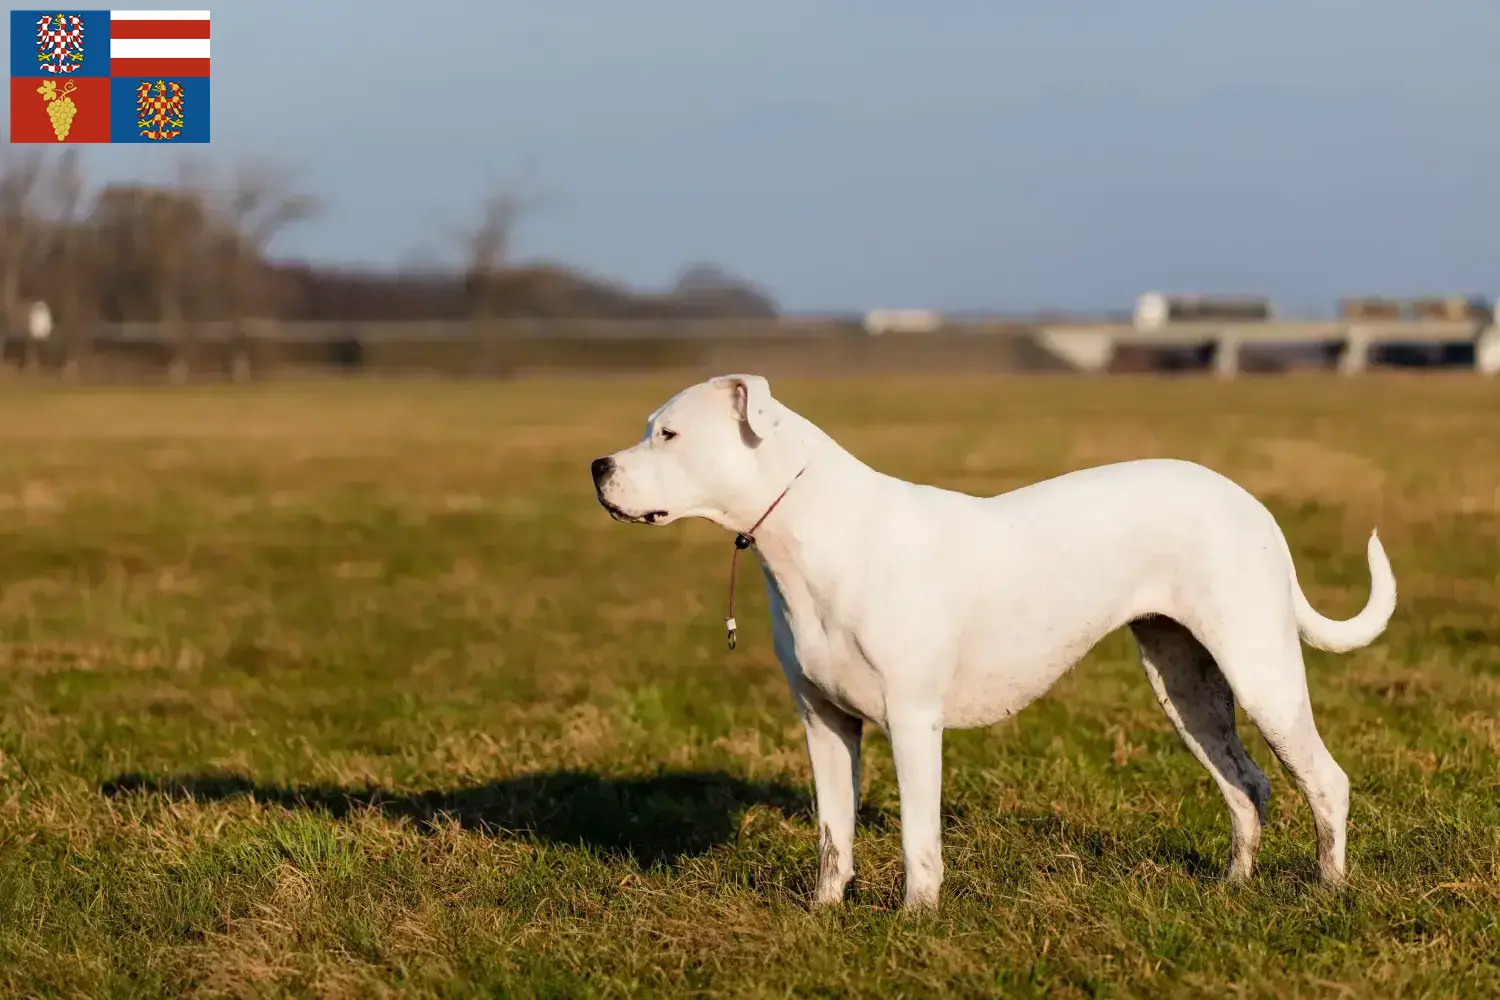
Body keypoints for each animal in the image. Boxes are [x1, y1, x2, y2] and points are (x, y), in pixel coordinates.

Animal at [588, 371, 1392, 911]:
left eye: (669, 434)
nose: (598, 467)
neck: (813, 532)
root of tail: (1249, 502)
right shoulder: (824, 723)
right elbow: (832, 831)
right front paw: (823, 912)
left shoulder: (913, 722)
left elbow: (917, 836)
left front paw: (915, 919)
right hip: (1186, 687)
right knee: (1246, 786)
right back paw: (1233, 887)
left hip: (1260, 672)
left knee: (1325, 781)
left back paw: (1329, 890)